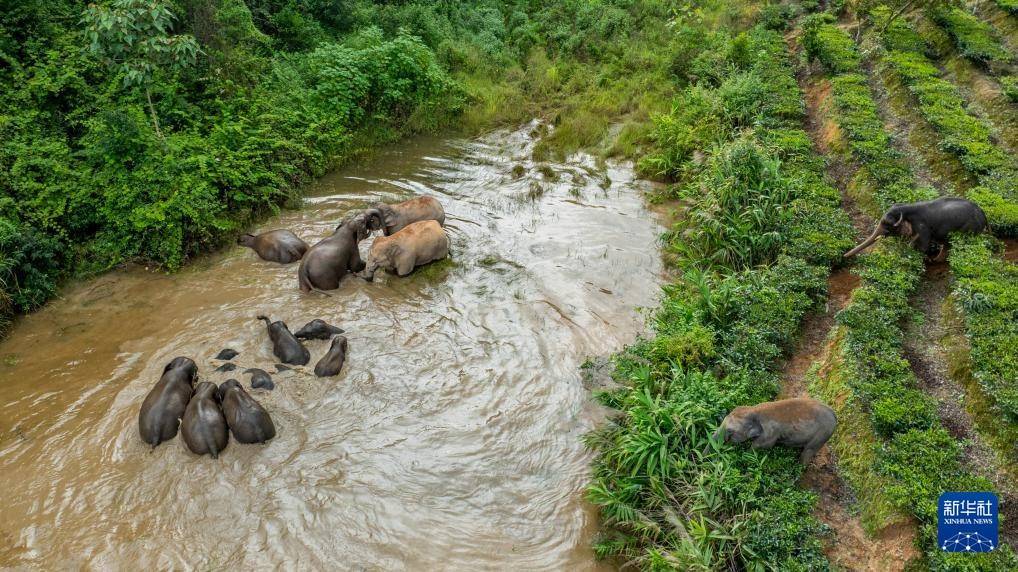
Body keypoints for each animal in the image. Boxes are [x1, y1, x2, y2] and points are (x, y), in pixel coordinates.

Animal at [842, 195, 985, 258]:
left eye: (887, 226)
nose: (844, 255)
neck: (906, 208)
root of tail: (984, 215)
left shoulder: (922, 226)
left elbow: (923, 246)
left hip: (970, 228)